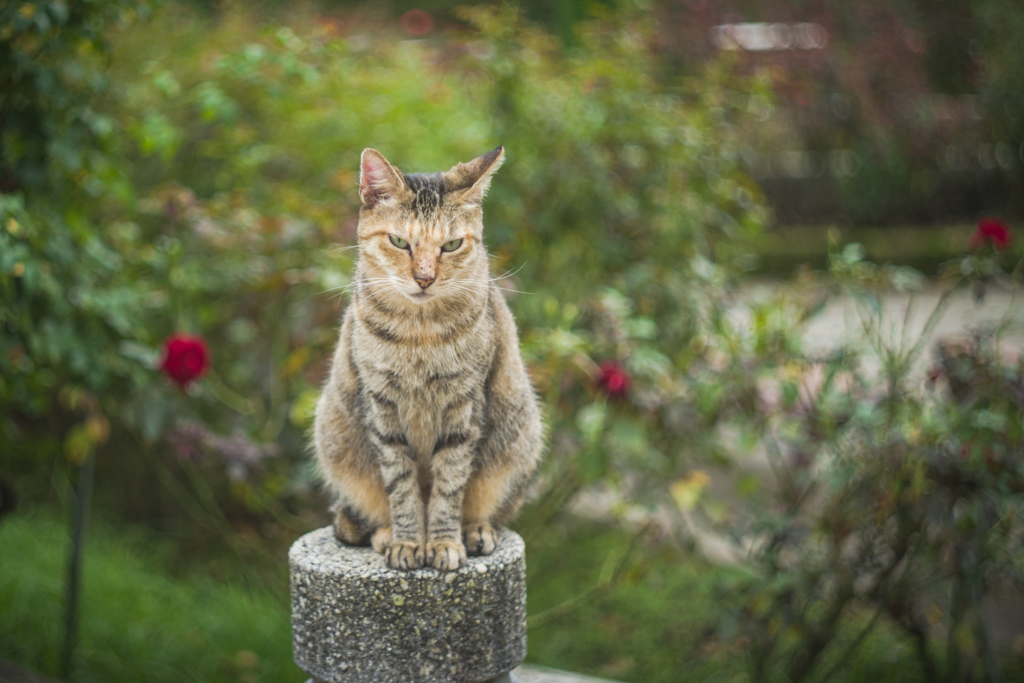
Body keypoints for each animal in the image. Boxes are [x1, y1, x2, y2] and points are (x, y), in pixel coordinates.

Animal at [313, 148, 544, 573]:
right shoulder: (382, 405)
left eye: (450, 245)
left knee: (491, 508)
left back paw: (476, 531)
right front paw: (408, 541)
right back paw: (386, 535)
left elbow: (449, 485)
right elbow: (401, 486)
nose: (424, 278)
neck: (418, 335)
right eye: (399, 241)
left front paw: (442, 543)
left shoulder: (464, 406)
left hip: (519, 442)